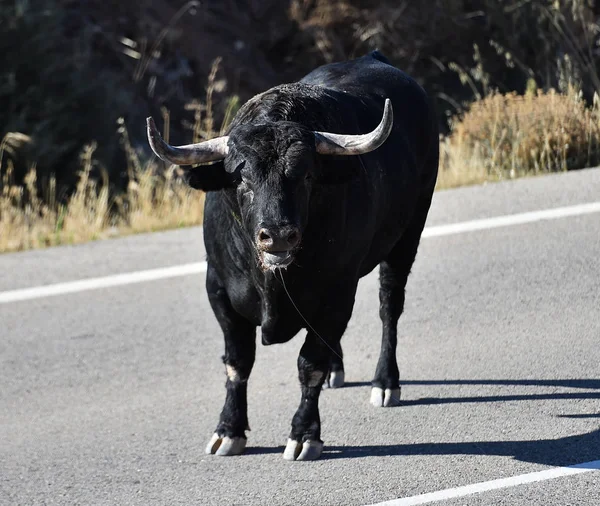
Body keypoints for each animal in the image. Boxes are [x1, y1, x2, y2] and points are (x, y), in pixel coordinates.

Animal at [145, 52, 436, 462]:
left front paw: (304, 434)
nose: (279, 234)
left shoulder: (337, 292)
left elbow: (308, 363)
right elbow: (237, 363)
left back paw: (385, 382)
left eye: (306, 175)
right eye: (241, 177)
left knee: (389, 307)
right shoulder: (218, 291)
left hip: (406, 238)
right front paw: (228, 430)